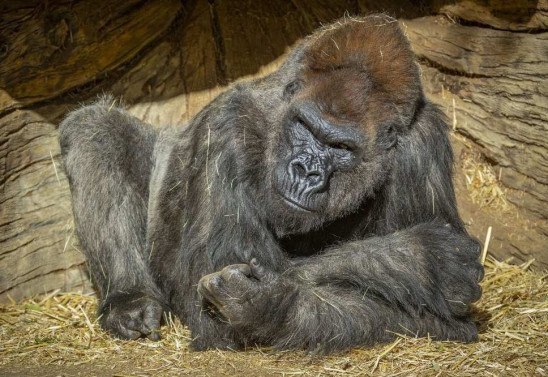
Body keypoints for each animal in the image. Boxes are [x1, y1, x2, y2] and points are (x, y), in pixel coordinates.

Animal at [57, 13, 482, 350]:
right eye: (305, 127)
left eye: (340, 147)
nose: (306, 170)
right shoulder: (226, 128)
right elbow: (209, 298)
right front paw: (422, 260)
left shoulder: (422, 144)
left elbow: (442, 322)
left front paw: (268, 306)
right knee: (96, 130)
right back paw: (129, 300)